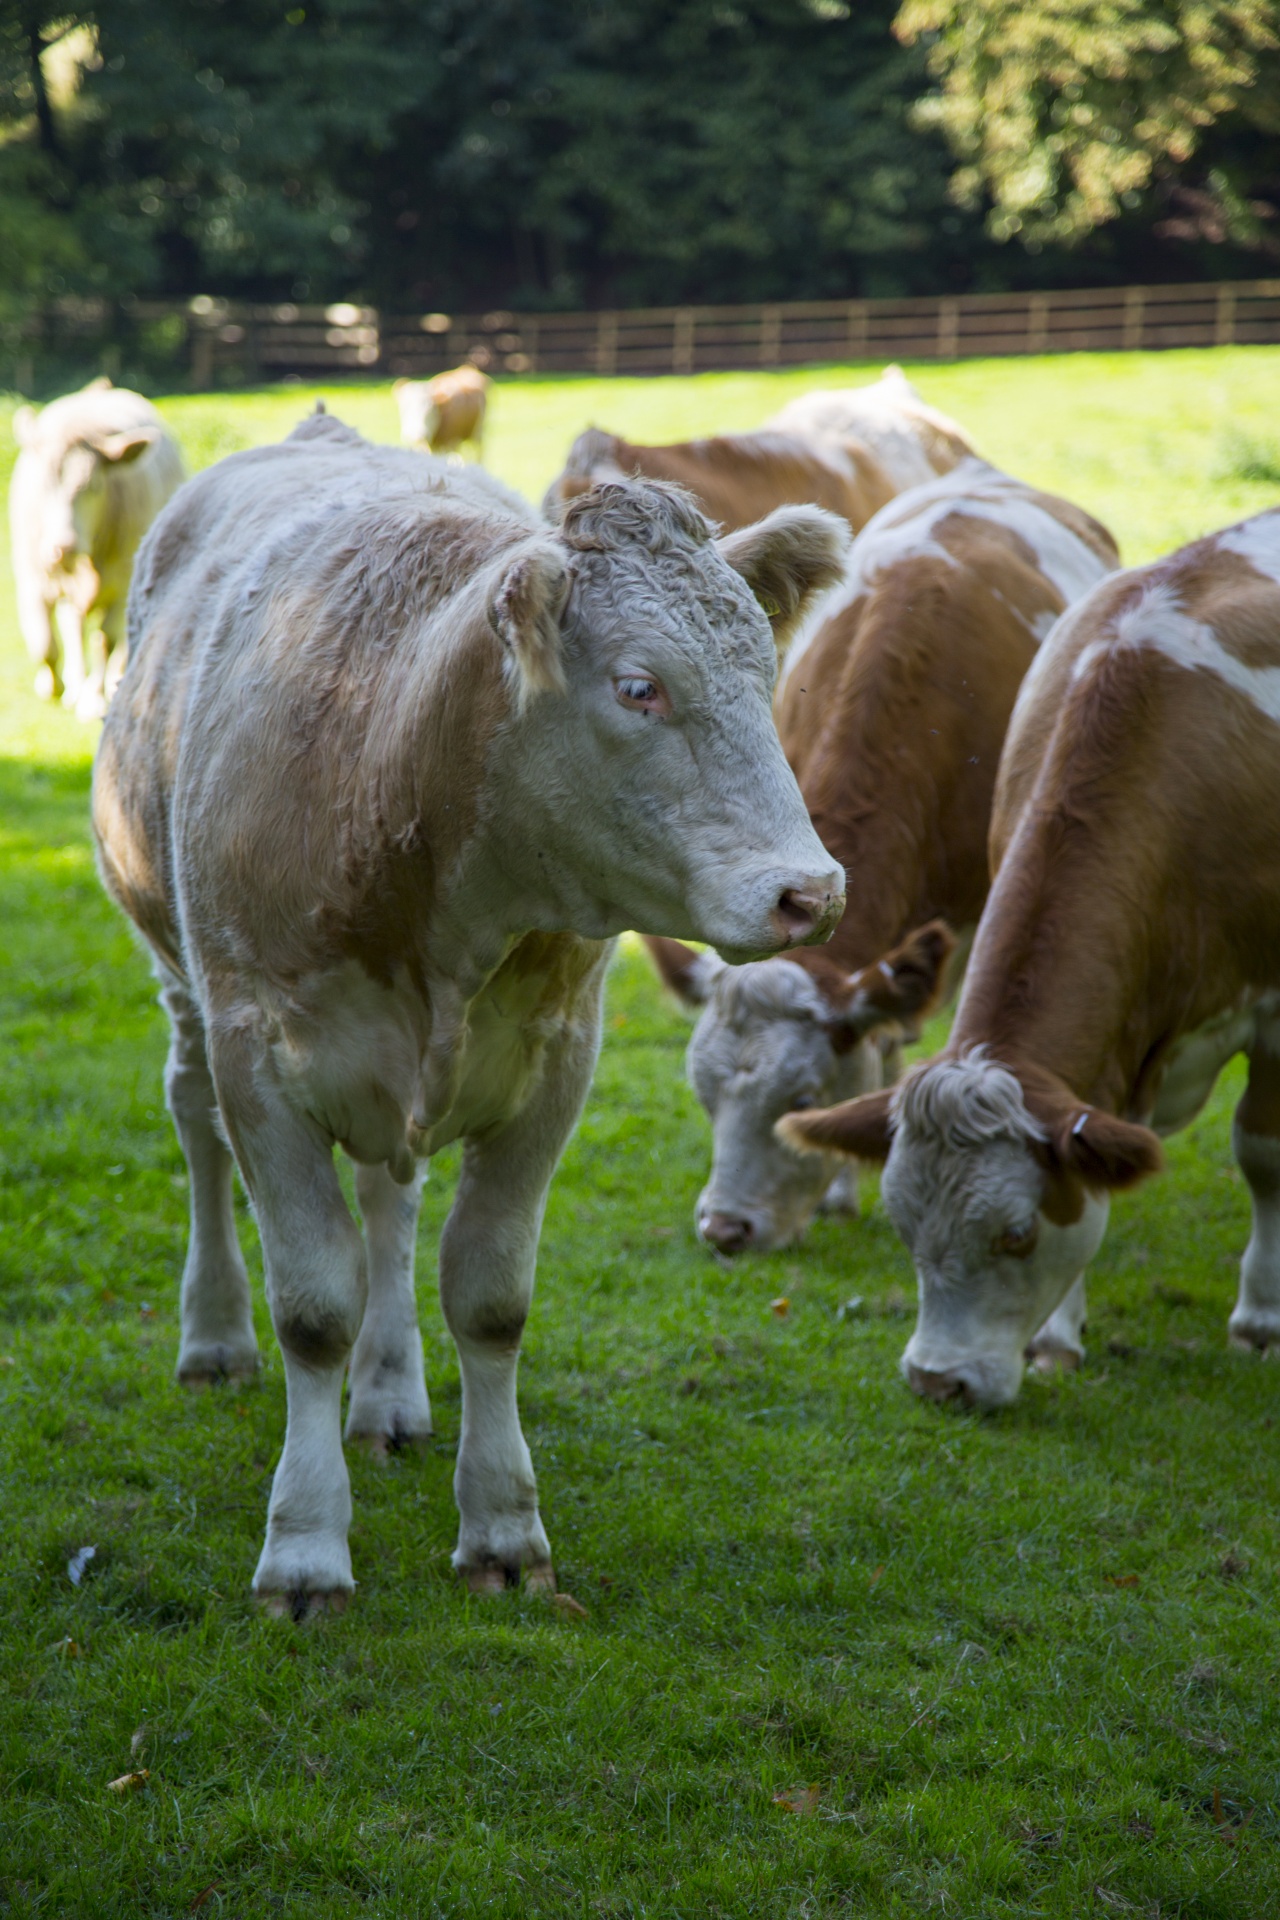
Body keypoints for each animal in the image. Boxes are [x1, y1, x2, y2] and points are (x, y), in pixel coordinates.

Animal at [9, 376, 185, 721]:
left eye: (95, 487)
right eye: (44, 483)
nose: (62, 547)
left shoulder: (120, 584)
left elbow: (106, 641)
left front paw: (94, 700)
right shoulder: (33, 581)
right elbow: (44, 643)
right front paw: (52, 687)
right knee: (73, 628)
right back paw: (73, 685)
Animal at [92, 412, 852, 1612]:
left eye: (767, 676)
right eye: (638, 687)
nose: (809, 892)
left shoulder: (554, 1070)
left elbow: (488, 1296)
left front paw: (501, 1528)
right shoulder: (258, 1059)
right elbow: (312, 1305)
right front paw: (304, 1546)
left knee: (389, 1197)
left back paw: (390, 1394)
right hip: (180, 985)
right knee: (195, 1127)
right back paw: (214, 1336)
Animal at [775, 506, 1280, 1413]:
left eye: (1015, 1234)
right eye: (905, 1227)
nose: (937, 1382)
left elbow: (1261, 1152)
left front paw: (1260, 1320)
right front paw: (1056, 1341)